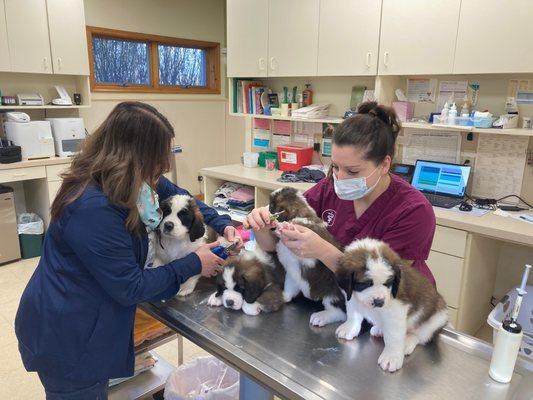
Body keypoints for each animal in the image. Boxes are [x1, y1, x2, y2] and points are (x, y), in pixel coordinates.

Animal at [268, 188, 348, 328]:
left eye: (272, 206)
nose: (266, 209)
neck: (299, 215)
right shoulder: (292, 270)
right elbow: (289, 287)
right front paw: (283, 296)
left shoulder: (310, 259)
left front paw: (286, 226)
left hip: (333, 291)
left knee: (338, 310)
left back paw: (322, 317)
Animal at [334, 238, 446, 372]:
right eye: (365, 284)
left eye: (388, 283)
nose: (379, 302)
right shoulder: (351, 295)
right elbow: (353, 313)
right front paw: (349, 328)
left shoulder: (396, 310)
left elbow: (394, 336)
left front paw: (392, 357)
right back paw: (380, 329)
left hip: (437, 318)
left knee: (421, 335)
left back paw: (407, 342)